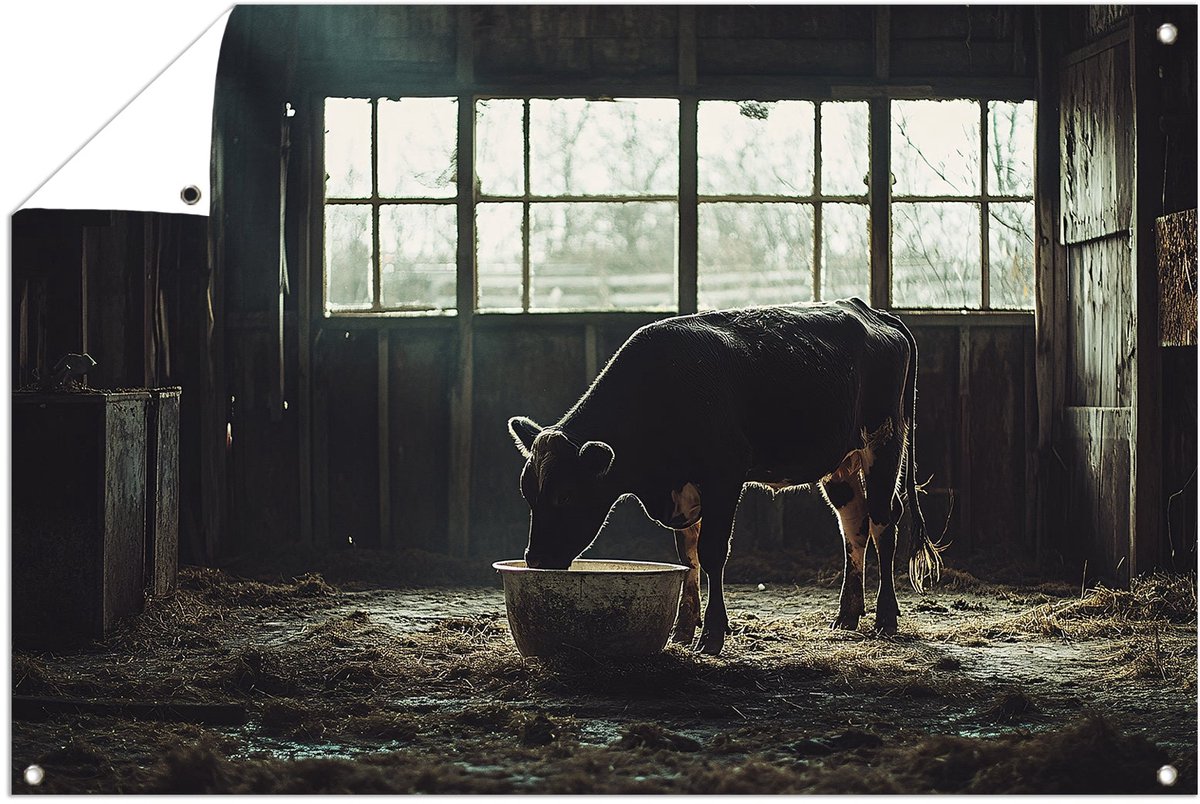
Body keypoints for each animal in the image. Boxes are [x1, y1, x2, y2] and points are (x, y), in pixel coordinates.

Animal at [507, 298, 945, 656]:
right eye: (528, 494)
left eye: (565, 495)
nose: (536, 559)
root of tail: (868, 310)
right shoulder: (681, 490)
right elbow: (687, 557)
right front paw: (683, 630)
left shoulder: (724, 477)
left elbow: (713, 553)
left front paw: (712, 634)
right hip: (841, 463)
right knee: (854, 525)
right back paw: (847, 615)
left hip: (885, 443)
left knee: (883, 522)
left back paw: (885, 616)